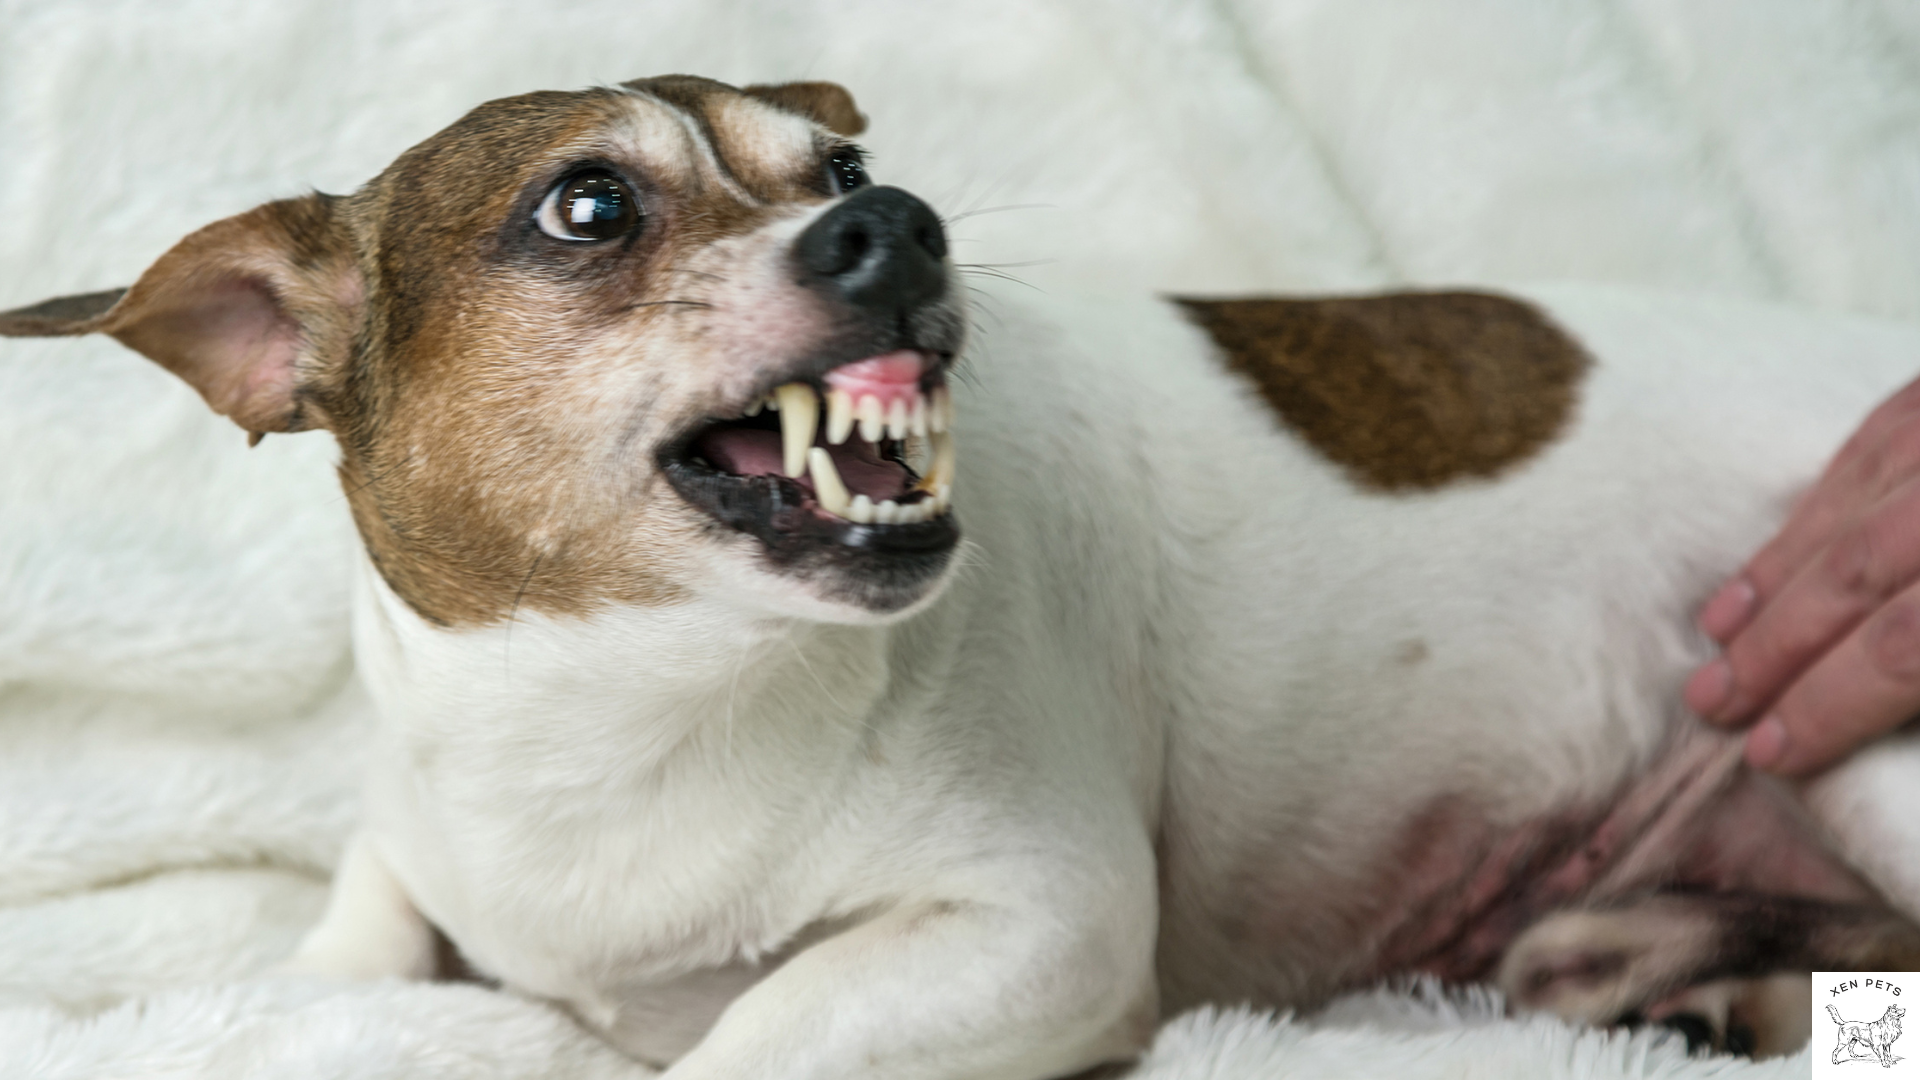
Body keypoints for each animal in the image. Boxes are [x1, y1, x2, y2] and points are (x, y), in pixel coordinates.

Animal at [3, 75, 1920, 1068]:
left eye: (844, 163)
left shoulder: (1032, 926)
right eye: (588, 208)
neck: (631, 710)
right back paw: (1669, 964)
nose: (899, 221)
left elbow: (752, 1036)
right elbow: (350, 953)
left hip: (1862, 737)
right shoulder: (415, 859)